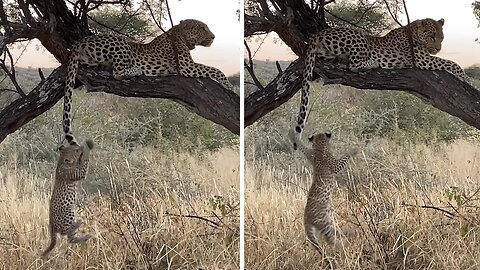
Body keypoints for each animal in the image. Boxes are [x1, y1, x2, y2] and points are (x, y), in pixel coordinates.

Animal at [62, 19, 232, 146]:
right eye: (203, 28)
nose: (213, 36)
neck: (180, 35)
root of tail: (79, 42)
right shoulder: (187, 67)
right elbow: (215, 69)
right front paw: (229, 86)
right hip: (120, 42)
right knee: (117, 72)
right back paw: (136, 69)